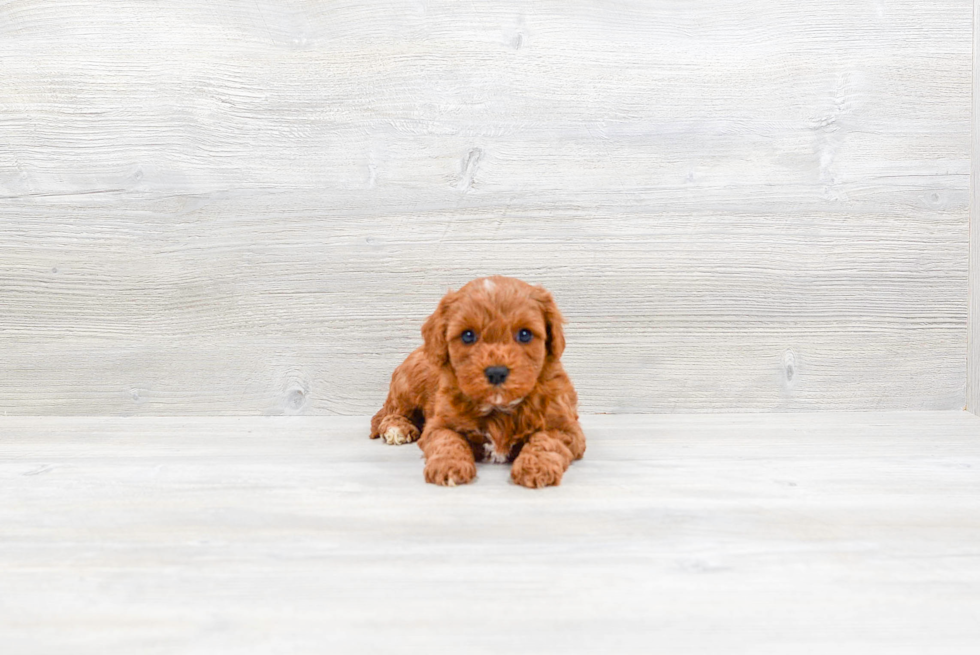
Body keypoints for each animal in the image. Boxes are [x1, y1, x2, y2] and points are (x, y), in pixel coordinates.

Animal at [368, 276, 580, 486]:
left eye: (525, 334)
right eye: (468, 335)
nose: (496, 372)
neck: (498, 408)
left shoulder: (566, 428)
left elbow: (546, 441)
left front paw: (536, 468)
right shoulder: (439, 424)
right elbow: (448, 440)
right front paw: (448, 465)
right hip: (408, 386)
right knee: (388, 413)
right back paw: (398, 428)